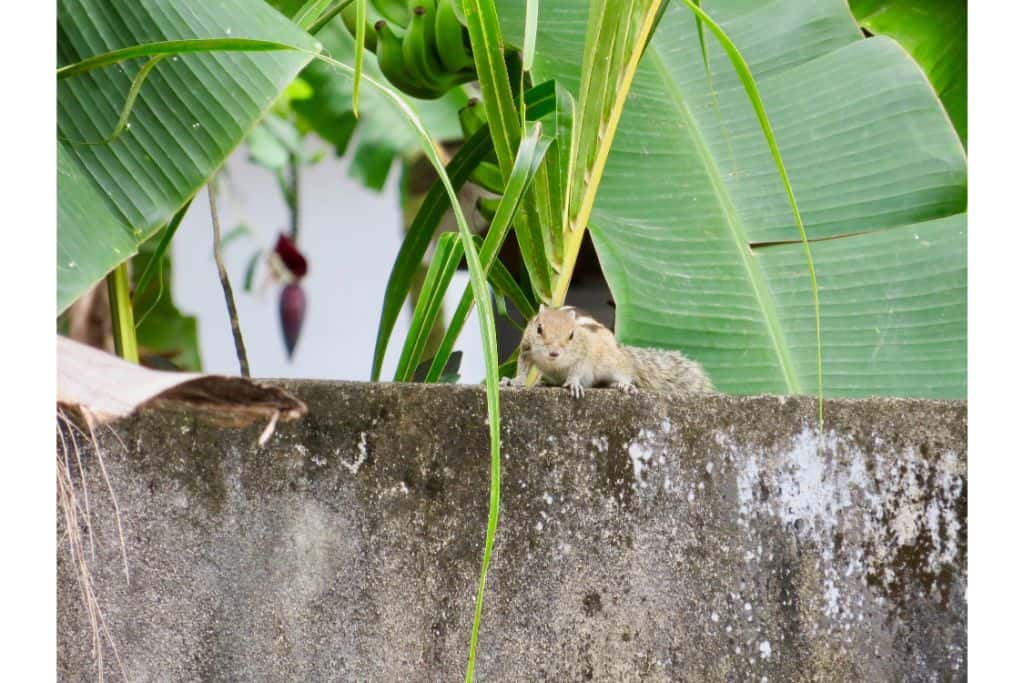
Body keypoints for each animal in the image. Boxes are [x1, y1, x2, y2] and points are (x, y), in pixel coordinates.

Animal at [501, 305, 712, 401]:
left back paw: (622, 384)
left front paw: (573, 383)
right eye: (539, 328)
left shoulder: (583, 354)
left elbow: (577, 370)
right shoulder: (526, 348)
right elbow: (523, 367)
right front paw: (513, 381)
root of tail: (618, 348)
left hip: (610, 362)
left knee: (624, 370)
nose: (554, 353)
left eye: (571, 335)